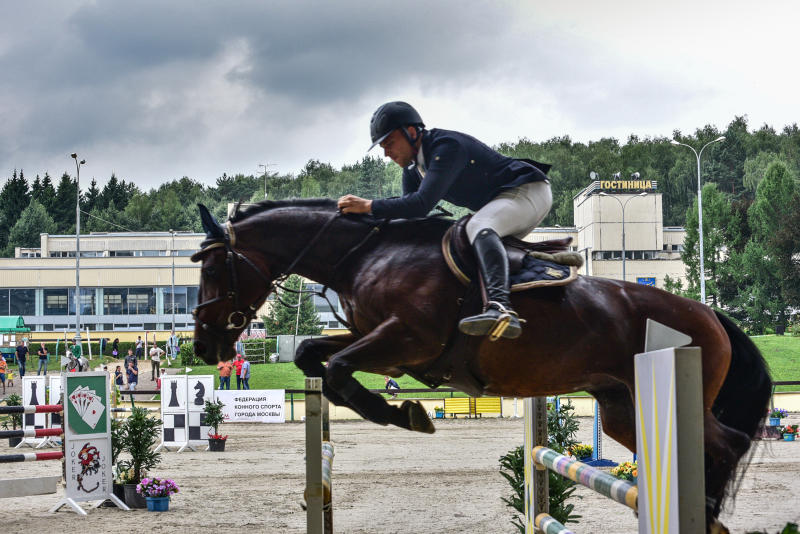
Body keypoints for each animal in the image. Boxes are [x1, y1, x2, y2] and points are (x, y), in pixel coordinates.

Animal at [191, 200, 772, 532]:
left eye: (215, 268)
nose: (202, 346)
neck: (363, 255)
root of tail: (709, 314)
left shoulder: (408, 339)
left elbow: (335, 368)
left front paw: (404, 414)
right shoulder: (376, 337)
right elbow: (314, 354)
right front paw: (399, 411)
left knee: (727, 444)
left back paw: (709, 509)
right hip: (621, 410)